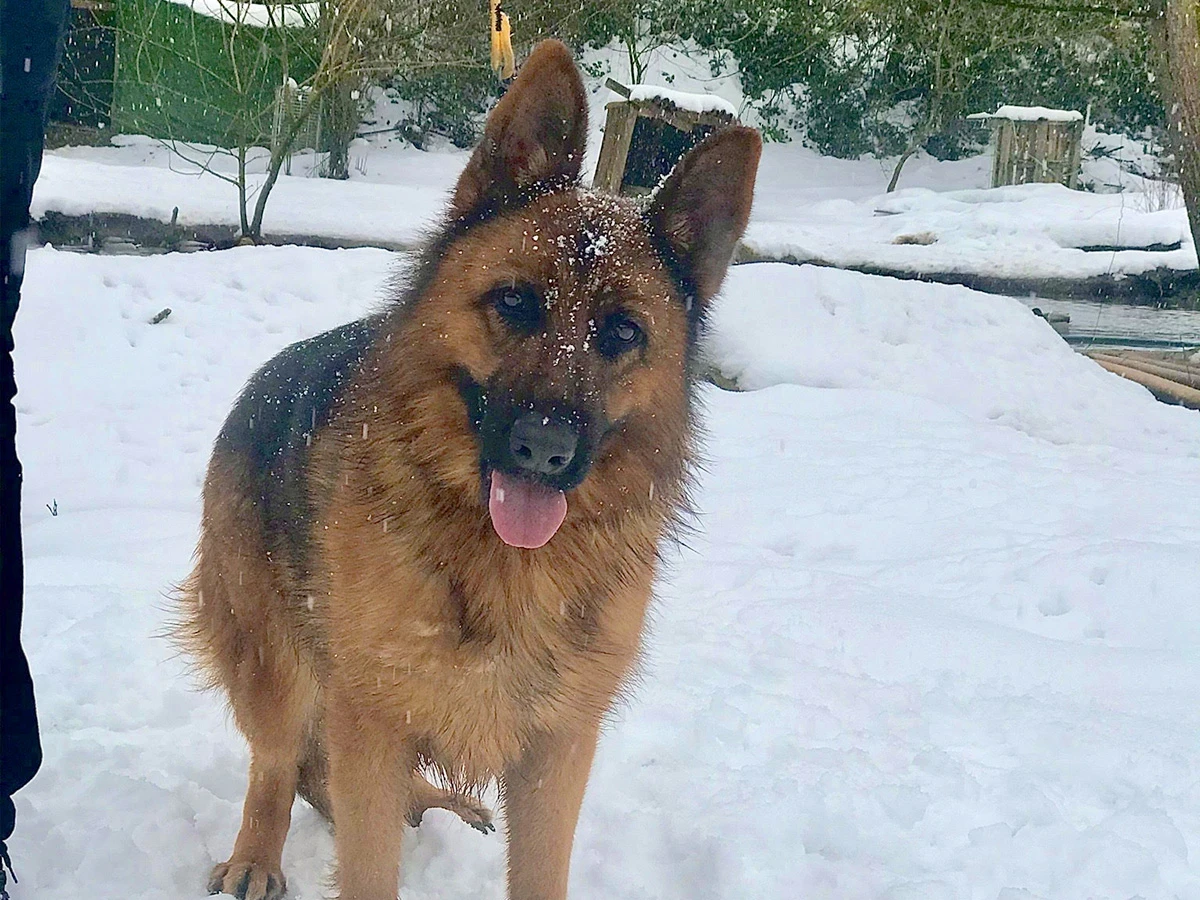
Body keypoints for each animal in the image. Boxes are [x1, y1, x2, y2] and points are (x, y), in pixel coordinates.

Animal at [177, 38, 758, 900]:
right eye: (515, 302)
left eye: (622, 333)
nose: (545, 451)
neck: (506, 565)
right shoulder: (370, 719)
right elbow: (365, 862)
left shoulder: (557, 748)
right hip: (275, 662)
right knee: (281, 762)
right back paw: (257, 856)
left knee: (332, 774)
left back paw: (434, 800)